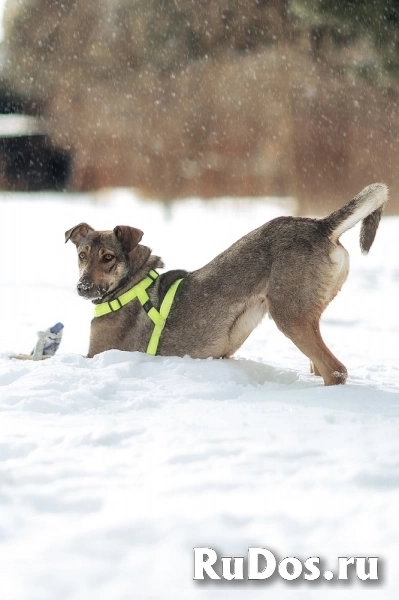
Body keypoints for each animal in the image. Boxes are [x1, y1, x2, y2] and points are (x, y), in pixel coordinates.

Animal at [65, 183, 388, 386]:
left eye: (108, 257)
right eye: (81, 255)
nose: (82, 288)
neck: (130, 283)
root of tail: (321, 225)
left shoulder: (96, 355)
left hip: (288, 315)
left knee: (336, 371)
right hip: (304, 314)